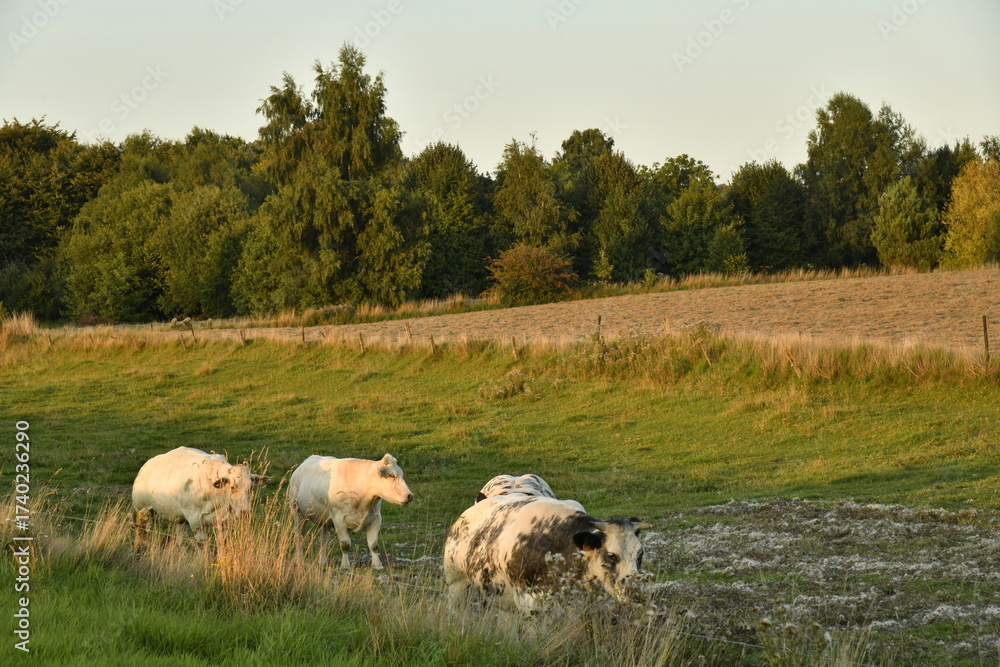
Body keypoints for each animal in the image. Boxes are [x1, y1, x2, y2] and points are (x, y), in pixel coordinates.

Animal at [131, 446, 269, 547]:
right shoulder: (195, 522)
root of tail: (146, 466)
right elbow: (203, 547)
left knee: (180, 541)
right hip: (143, 510)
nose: (245, 512)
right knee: (142, 532)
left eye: (250, 487)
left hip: (178, 518)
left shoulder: (224, 523)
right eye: (233, 486)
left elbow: (221, 545)